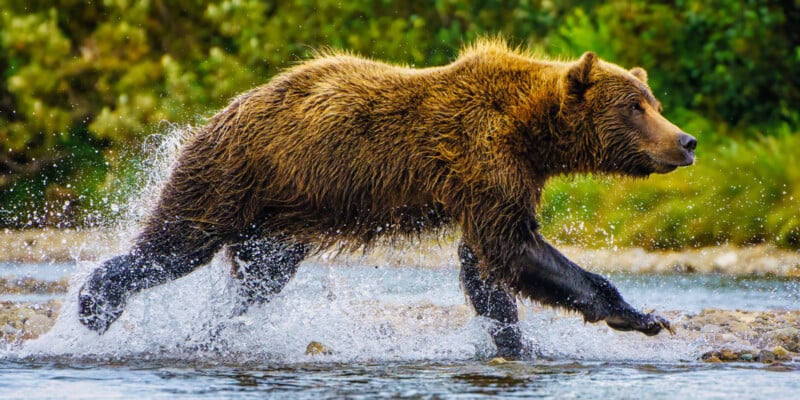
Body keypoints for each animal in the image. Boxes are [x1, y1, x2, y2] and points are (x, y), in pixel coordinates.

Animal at [78, 39, 695, 358]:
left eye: (655, 101)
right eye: (636, 106)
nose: (686, 141)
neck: (531, 134)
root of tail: (225, 109)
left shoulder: (498, 182)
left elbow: (486, 266)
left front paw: (514, 342)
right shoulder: (482, 159)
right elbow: (513, 248)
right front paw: (643, 315)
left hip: (280, 220)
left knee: (258, 278)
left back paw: (213, 330)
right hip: (234, 174)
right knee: (177, 243)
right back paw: (95, 305)